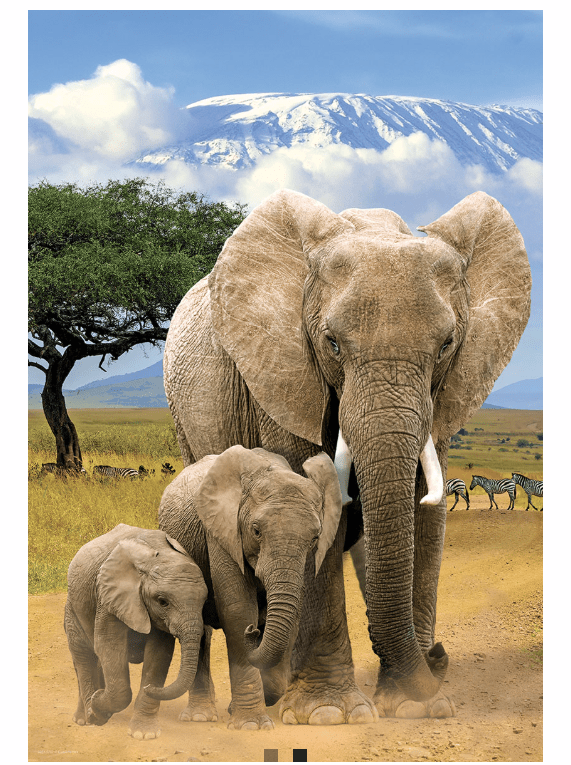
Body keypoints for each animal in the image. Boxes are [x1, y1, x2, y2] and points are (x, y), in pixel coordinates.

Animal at [64, 523, 208, 740]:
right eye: (162, 601)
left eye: (204, 601)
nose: (150, 689)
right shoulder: (109, 597)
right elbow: (109, 645)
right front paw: (96, 710)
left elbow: (159, 655)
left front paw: (144, 734)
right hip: (72, 607)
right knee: (83, 656)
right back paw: (85, 718)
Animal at [156, 445, 343, 730]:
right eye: (256, 531)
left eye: (314, 537)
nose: (253, 631)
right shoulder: (221, 531)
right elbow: (238, 609)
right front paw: (250, 725)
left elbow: (293, 614)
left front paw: (243, 708)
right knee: (199, 631)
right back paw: (200, 717)